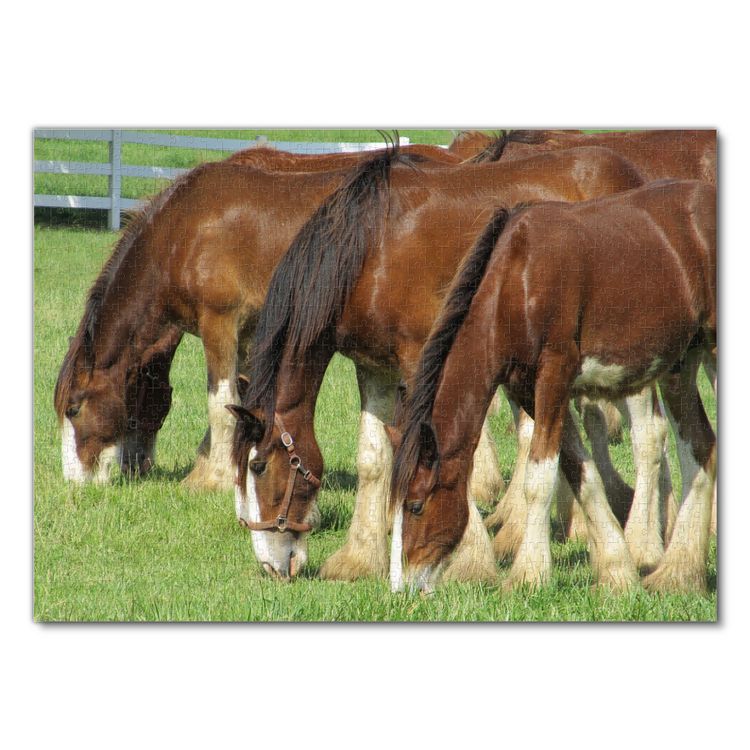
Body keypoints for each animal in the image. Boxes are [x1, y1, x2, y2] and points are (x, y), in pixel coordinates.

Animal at [53, 144, 474, 488]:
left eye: (74, 408)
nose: (75, 482)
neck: (183, 231)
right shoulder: (250, 335)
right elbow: (239, 401)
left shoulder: (219, 323)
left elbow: (221, 403)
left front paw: (215, 479)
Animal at [226, 144, 647, 582]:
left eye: (257, 466)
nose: (271, 564)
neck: (370, 251)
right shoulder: (374, 367)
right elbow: (373, 458)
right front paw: (360, 558)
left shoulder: (419, 363)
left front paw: (471, 560)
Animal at [389, 180, 716, 594]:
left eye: (415, 505)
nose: (403, 586)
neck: (519, 279)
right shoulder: (528, 390)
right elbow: (581, 472)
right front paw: (617, 571)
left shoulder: (555, 377)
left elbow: (539, 477)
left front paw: (528, 574)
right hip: (680, 365)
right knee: (699, 447)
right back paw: (680, 573)